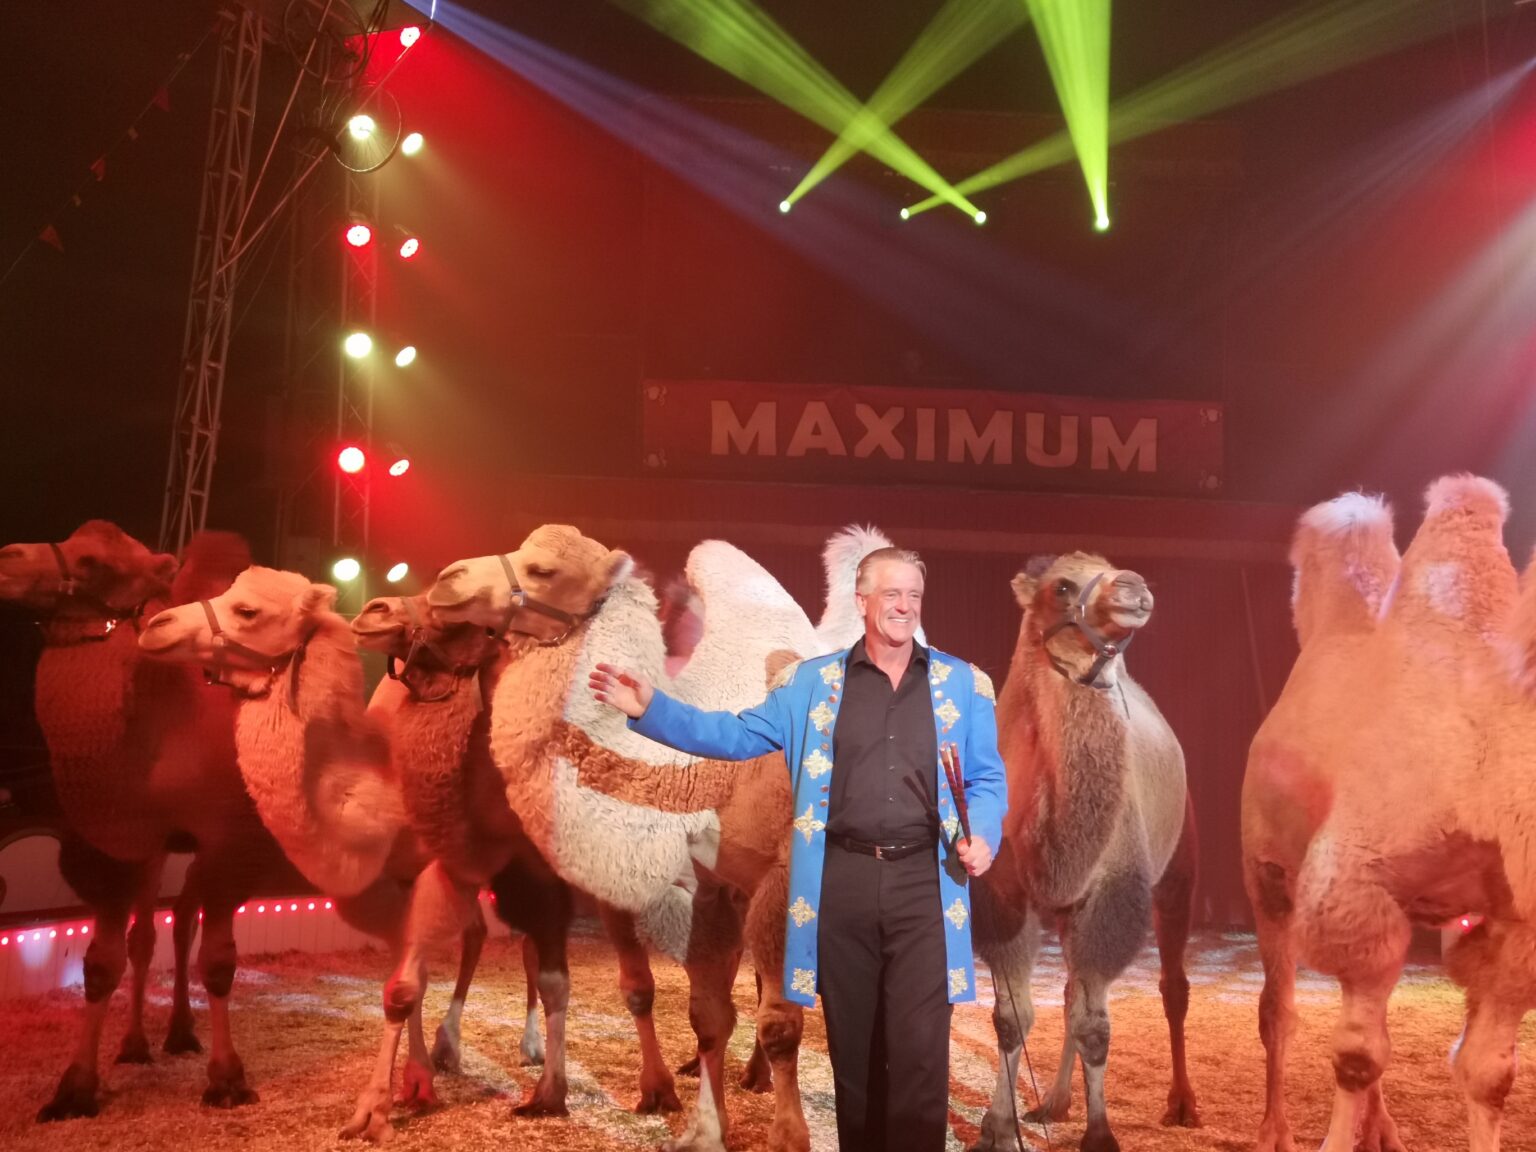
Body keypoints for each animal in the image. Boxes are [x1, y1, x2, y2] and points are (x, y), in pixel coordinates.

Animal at [0, 523, 295, 1119]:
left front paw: (227, 1079)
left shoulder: (230, 841)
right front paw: (74, 1088)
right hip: (159, 851)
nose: (7, 558)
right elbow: (101, 962)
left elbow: (219, 961)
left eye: (93, 562)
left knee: (182, 922)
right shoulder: (116, 843)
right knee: (151, 934)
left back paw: (181, 1031)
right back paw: (138, 1043)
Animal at [430, 524, 819, 1152]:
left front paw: (787, 1136)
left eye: (543, 570)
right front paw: (706, 1127)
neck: (698, 771)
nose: (447, 580)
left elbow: (780, 1020)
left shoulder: (783, 875)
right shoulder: (712, 883)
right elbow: (709, 1014)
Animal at [970, 551, 1198, 1152]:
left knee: (1169, 987)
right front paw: (997, 1126)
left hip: (1178, 871)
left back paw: (1182, 1104)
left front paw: (1099, 1132)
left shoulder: (1111, 896)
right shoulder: (1004, 892)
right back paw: (1052, 1101)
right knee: (1072, 989)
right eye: (1062, 587)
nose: (1134, 588)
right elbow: (1012, 1017)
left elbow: (1095, 1026)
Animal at [1244, 475, 1536, 1152]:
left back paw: (1381, 1128)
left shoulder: (1517, 921)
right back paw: (1274, 1129)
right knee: (1279, 1009)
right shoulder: (1352, 886)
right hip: (1265, 873)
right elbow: (1356, 1057)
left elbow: (1488, 1073)